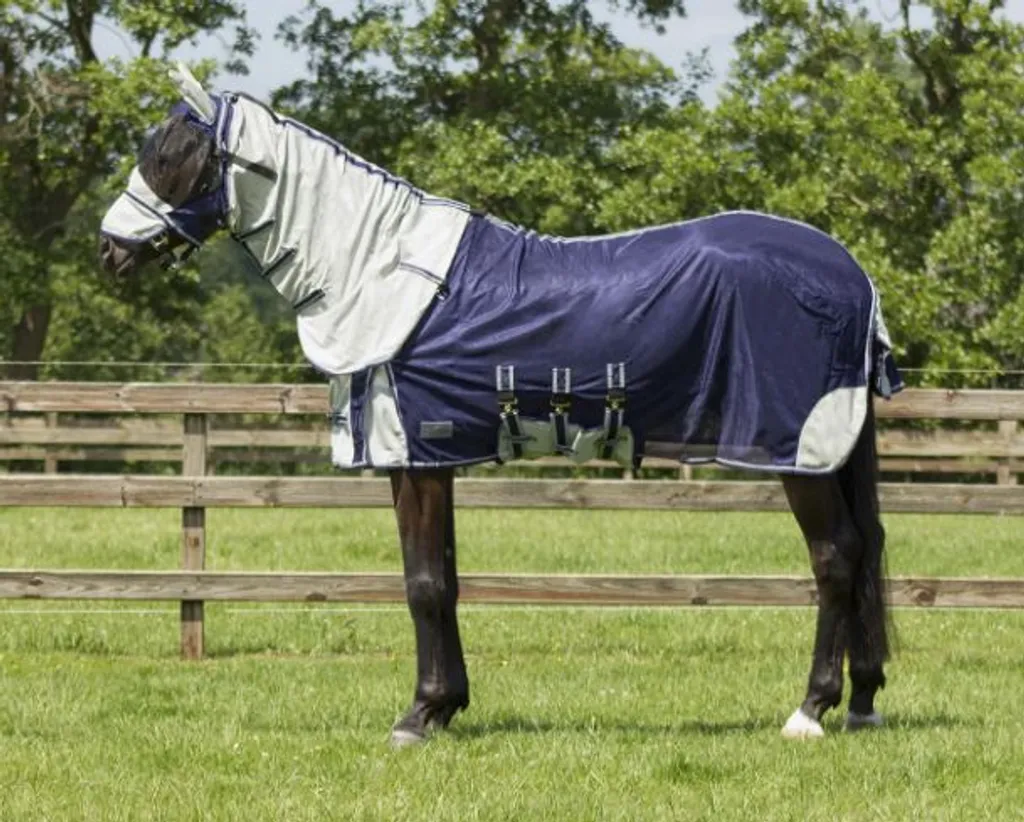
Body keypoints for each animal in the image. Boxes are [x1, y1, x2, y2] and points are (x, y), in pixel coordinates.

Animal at [99, 64, 900, 745]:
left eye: (172, 155)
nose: (109, 251)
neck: (383, 271)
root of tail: (851, 275)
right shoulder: (432, 458)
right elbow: (445, 579)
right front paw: (446, 704)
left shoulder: (415, 453)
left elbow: (423, 583)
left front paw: (418, 717)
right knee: (864, 551)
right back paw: (862, 701)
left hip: (799, 450)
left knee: (836, 557)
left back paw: (810, 710)